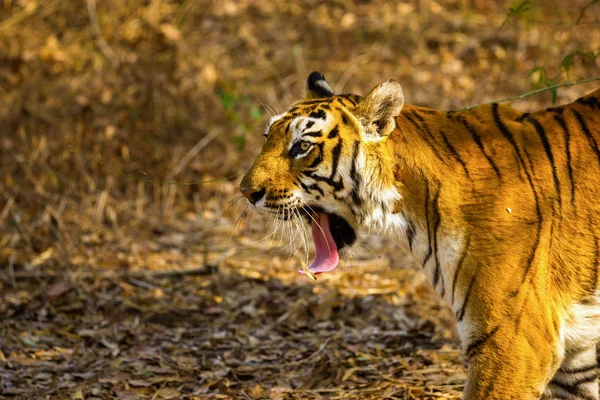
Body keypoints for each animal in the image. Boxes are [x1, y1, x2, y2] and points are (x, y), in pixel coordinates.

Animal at [237, 72, 600, 400]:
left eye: (301, 146)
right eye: (267, 137)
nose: (245, 192)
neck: (410, 212)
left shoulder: (513, 343)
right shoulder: (575, 360)